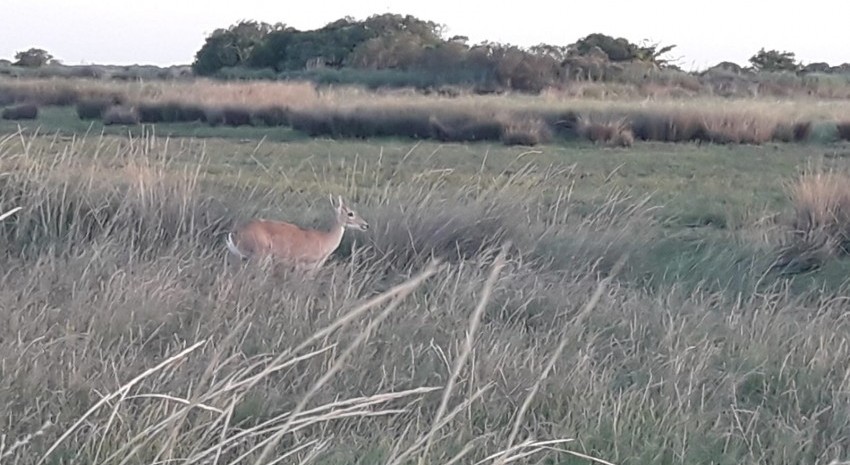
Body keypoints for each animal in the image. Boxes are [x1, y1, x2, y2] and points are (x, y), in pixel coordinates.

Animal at [225, 194, 368, 274]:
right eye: (350, 213)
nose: (366, 225)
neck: (325, 240)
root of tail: (234, 233)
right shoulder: (301, 263)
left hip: (238, 257)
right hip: (260, 256)